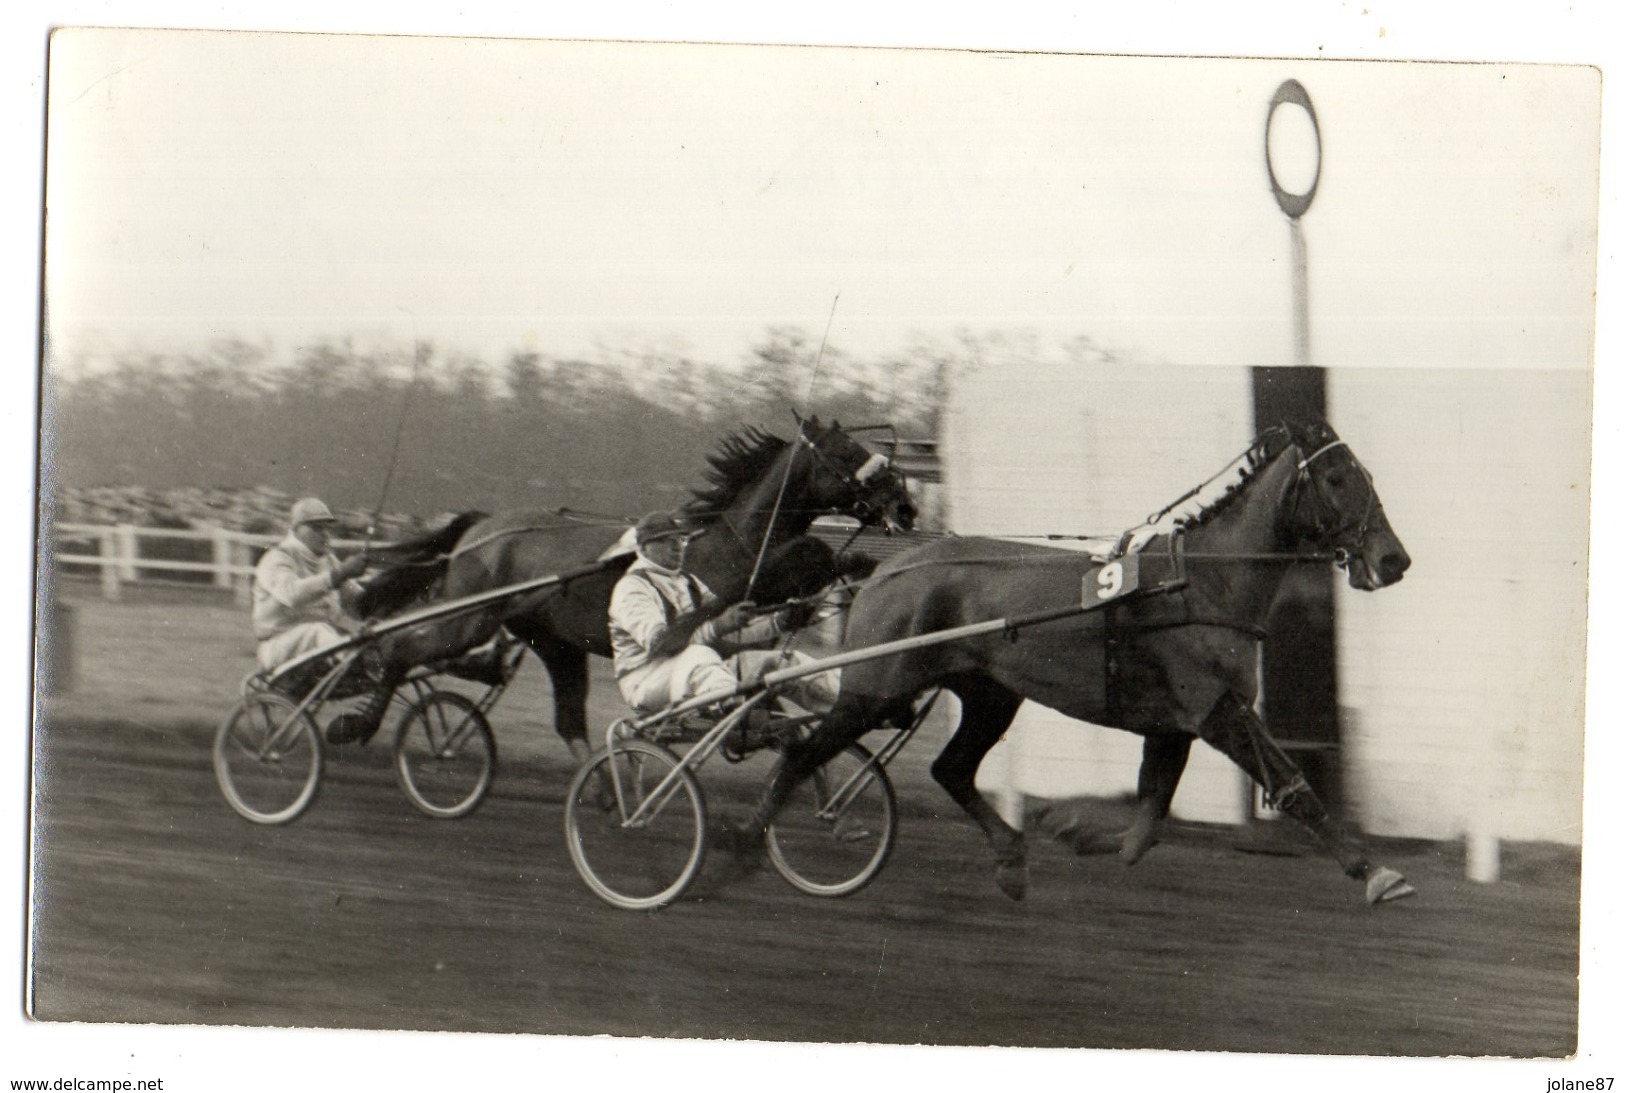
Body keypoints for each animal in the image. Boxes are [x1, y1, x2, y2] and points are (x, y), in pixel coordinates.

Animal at [351, 419, 923, 766]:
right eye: (848, 451)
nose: (906, 504)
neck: (737, 539)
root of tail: (483, 525)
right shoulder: (731, 592)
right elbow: (810, 559)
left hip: (553, 643)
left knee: (568, 717)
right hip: (472, 617)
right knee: (401, 647)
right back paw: (355, 725)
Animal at [731, 422, 1417, 909]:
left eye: (1365, 474)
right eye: (1336, 478)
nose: (1394, 560)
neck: (1202, 583)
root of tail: (887, 570)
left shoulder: (1175, 725)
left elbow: (1142, 833)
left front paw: (1068, 828)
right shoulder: (1215, 712)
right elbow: (1292, 785)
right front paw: (1377, 872)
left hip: (989, 695)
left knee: (950, 768)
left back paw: (1011, 858)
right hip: (873, 691)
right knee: (802, 753)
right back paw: (740, 844)